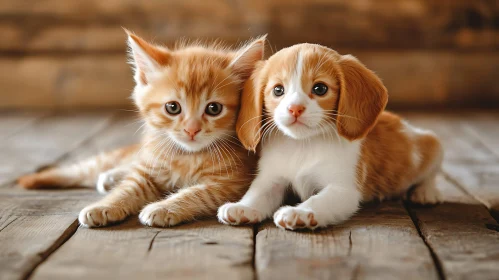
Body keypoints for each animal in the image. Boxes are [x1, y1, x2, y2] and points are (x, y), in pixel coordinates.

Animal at [17, 31, 264, 228]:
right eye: (173, 107)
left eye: (214, 109)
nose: (191, 130)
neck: (186, 156)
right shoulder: (147, 170)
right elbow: (129, 188)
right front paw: (104, 206)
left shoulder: (231, 184)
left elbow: (198, 193)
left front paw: (163, 208)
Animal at [217, 43, 444, 231]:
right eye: (278, 90)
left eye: (320, 88)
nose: (295, 109)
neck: (303, 146)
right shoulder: (272, 179)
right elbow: (256, 194)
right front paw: (243, 208)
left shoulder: (342, 189)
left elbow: (318, 200)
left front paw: (300, 212)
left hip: (432, 143)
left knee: (431, 172)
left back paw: (426, 192)